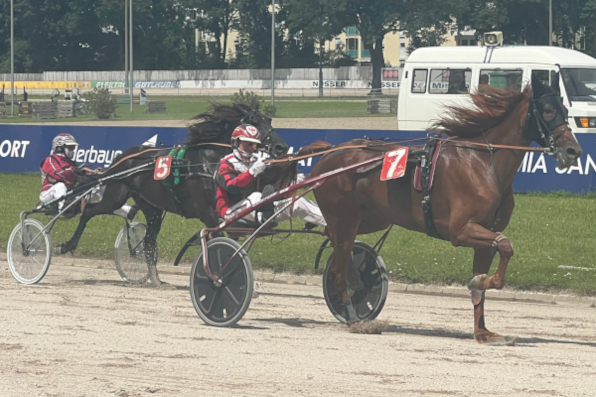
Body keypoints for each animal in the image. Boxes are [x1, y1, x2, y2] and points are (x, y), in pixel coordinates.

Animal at [57, 103, 290, 286]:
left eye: (269, 119)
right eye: (255, 123)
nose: (281, 147)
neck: (207, 162)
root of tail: (122, 157)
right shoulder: (208, 213)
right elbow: (220, 237)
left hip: (151, 207)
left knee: (148, 242)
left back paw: (156, 279)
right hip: (116, 195)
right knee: (88, 211)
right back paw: (67, 244)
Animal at [312, 76, 584, 342]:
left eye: (565, 110)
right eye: (548, 110)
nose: (574, 151)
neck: (484, 164)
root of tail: (328, 155)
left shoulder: (485, 235)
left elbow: (490, 266)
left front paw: (482, 330)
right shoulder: (460, 231)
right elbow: (505, 245)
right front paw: (481, 282)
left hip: (372, 218)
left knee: (333, 239)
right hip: (346, 219)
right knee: (338, 268)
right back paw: (354, 319)